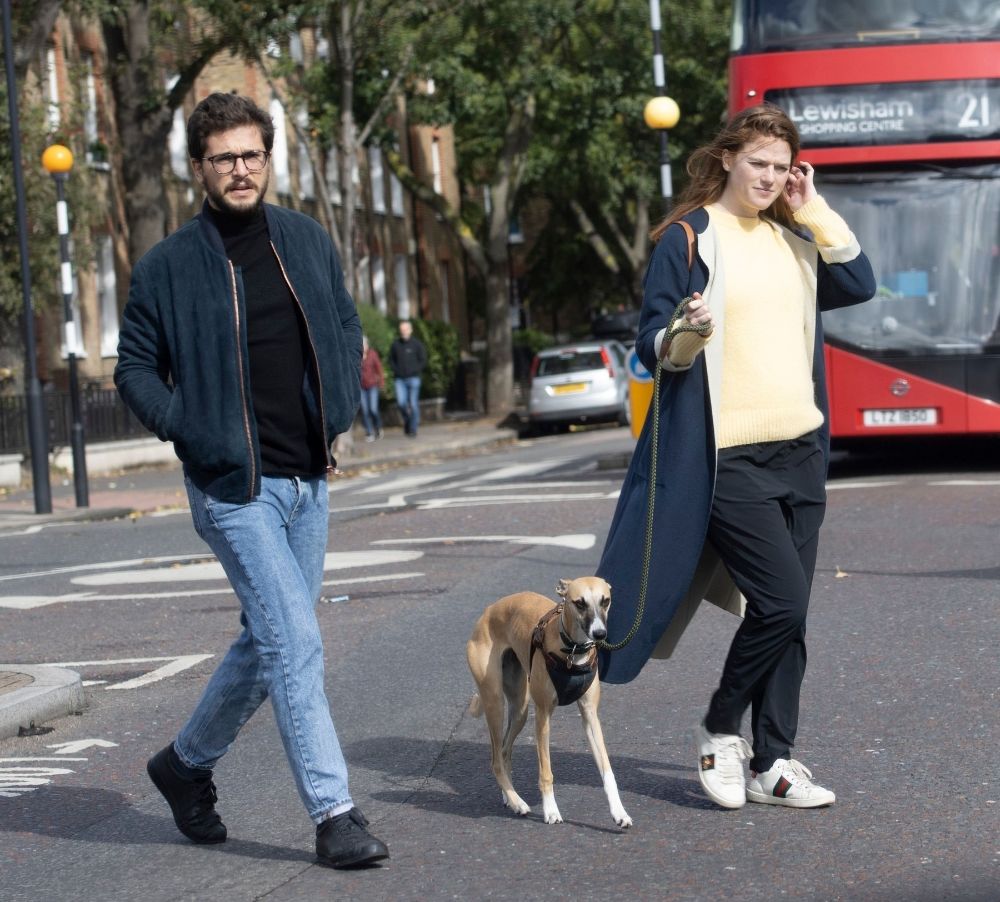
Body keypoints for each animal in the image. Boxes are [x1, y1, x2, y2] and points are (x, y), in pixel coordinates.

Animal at [464, 580, 628, 828]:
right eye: (579, 603)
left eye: (605, 600)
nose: (600, 634)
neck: (572, 651)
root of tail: (489, 610)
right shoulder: (542, 716)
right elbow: (546, 772)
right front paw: (551, 811)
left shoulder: (590, 715)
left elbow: (607, 770)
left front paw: (619, 812)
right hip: (495, 702)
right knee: (495, 760)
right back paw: (518, 803)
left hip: (519, 709)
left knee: (504, 752)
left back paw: (510, 798)